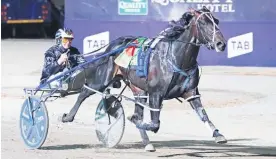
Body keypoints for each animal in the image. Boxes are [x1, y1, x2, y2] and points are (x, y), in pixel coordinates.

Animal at [61, 6, 227, 150]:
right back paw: (67, 117)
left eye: (216, 21)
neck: (176, 58)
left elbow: (203, 115)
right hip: (102, 80)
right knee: (83, 93)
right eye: (203, 22)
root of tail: (113, 45)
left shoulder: (191, 93)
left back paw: (147, 143)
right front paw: (134, 119)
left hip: (138, 90)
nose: (221, 44)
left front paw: (218, 135)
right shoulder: (155, 94)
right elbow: (154, 124)